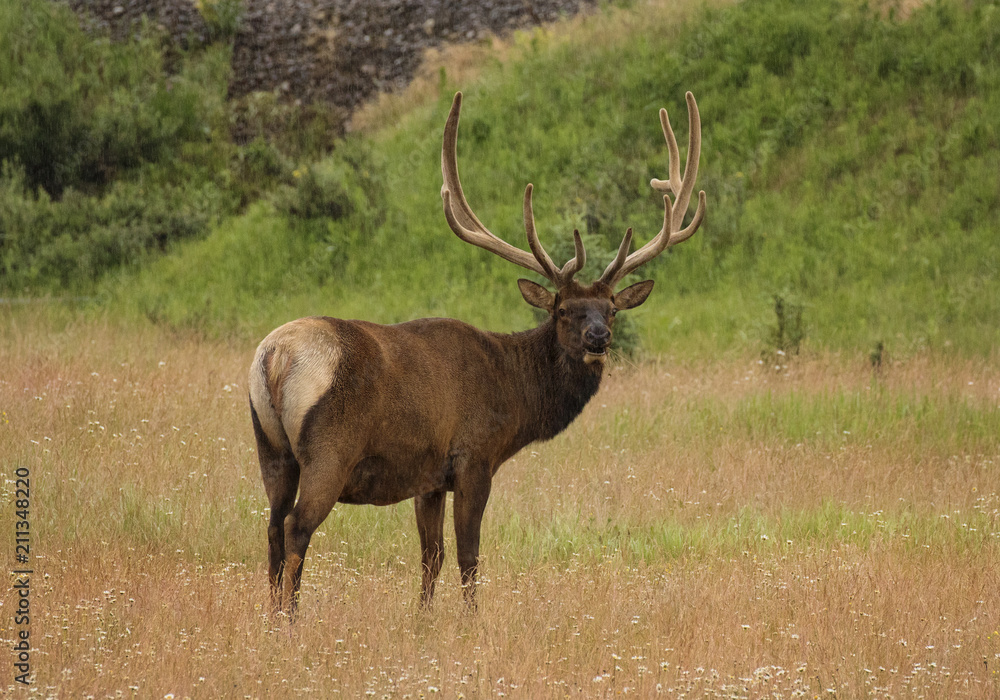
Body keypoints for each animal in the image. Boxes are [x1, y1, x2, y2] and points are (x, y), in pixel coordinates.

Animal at [247, 89, 708, 612]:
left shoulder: (428, 477)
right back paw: (290, 617)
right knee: (296, 527)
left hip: (270, 448)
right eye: (562, 310)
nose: (598, 339)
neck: (514, 395)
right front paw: (472, 620)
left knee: (271, 526)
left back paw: (270, 616)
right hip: (329, 449)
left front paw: (424, 619)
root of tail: (275, 357)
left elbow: (431, 557)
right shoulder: (474, 457)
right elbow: (469, 556)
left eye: (611, 310)